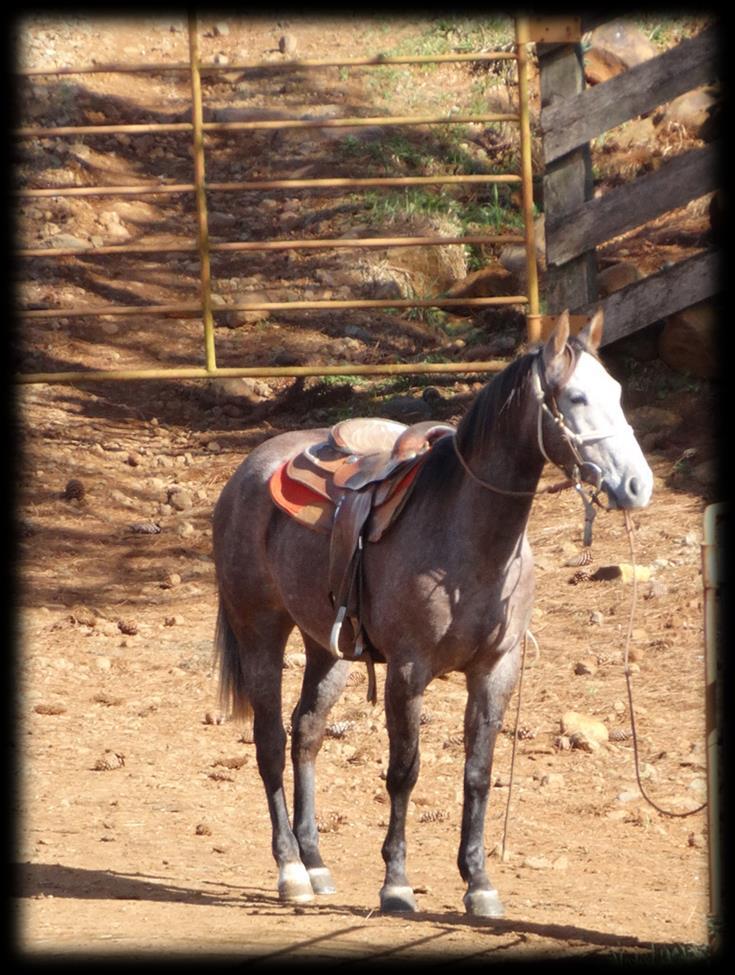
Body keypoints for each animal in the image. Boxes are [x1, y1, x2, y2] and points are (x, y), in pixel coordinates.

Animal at [213, 308, 656, 920]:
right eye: (577, 397)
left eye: (616, 392)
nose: (638, 486)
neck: (466, 537)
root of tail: (247, 473)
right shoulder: (408, 670)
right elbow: (404, 773)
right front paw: (396, 884)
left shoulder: (496, 669)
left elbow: (478, 774)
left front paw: (479, 883)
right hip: (260, 630)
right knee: (271, 742)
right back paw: (290, 871)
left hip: (328, 648)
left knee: (307, 733)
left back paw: (315, 862)